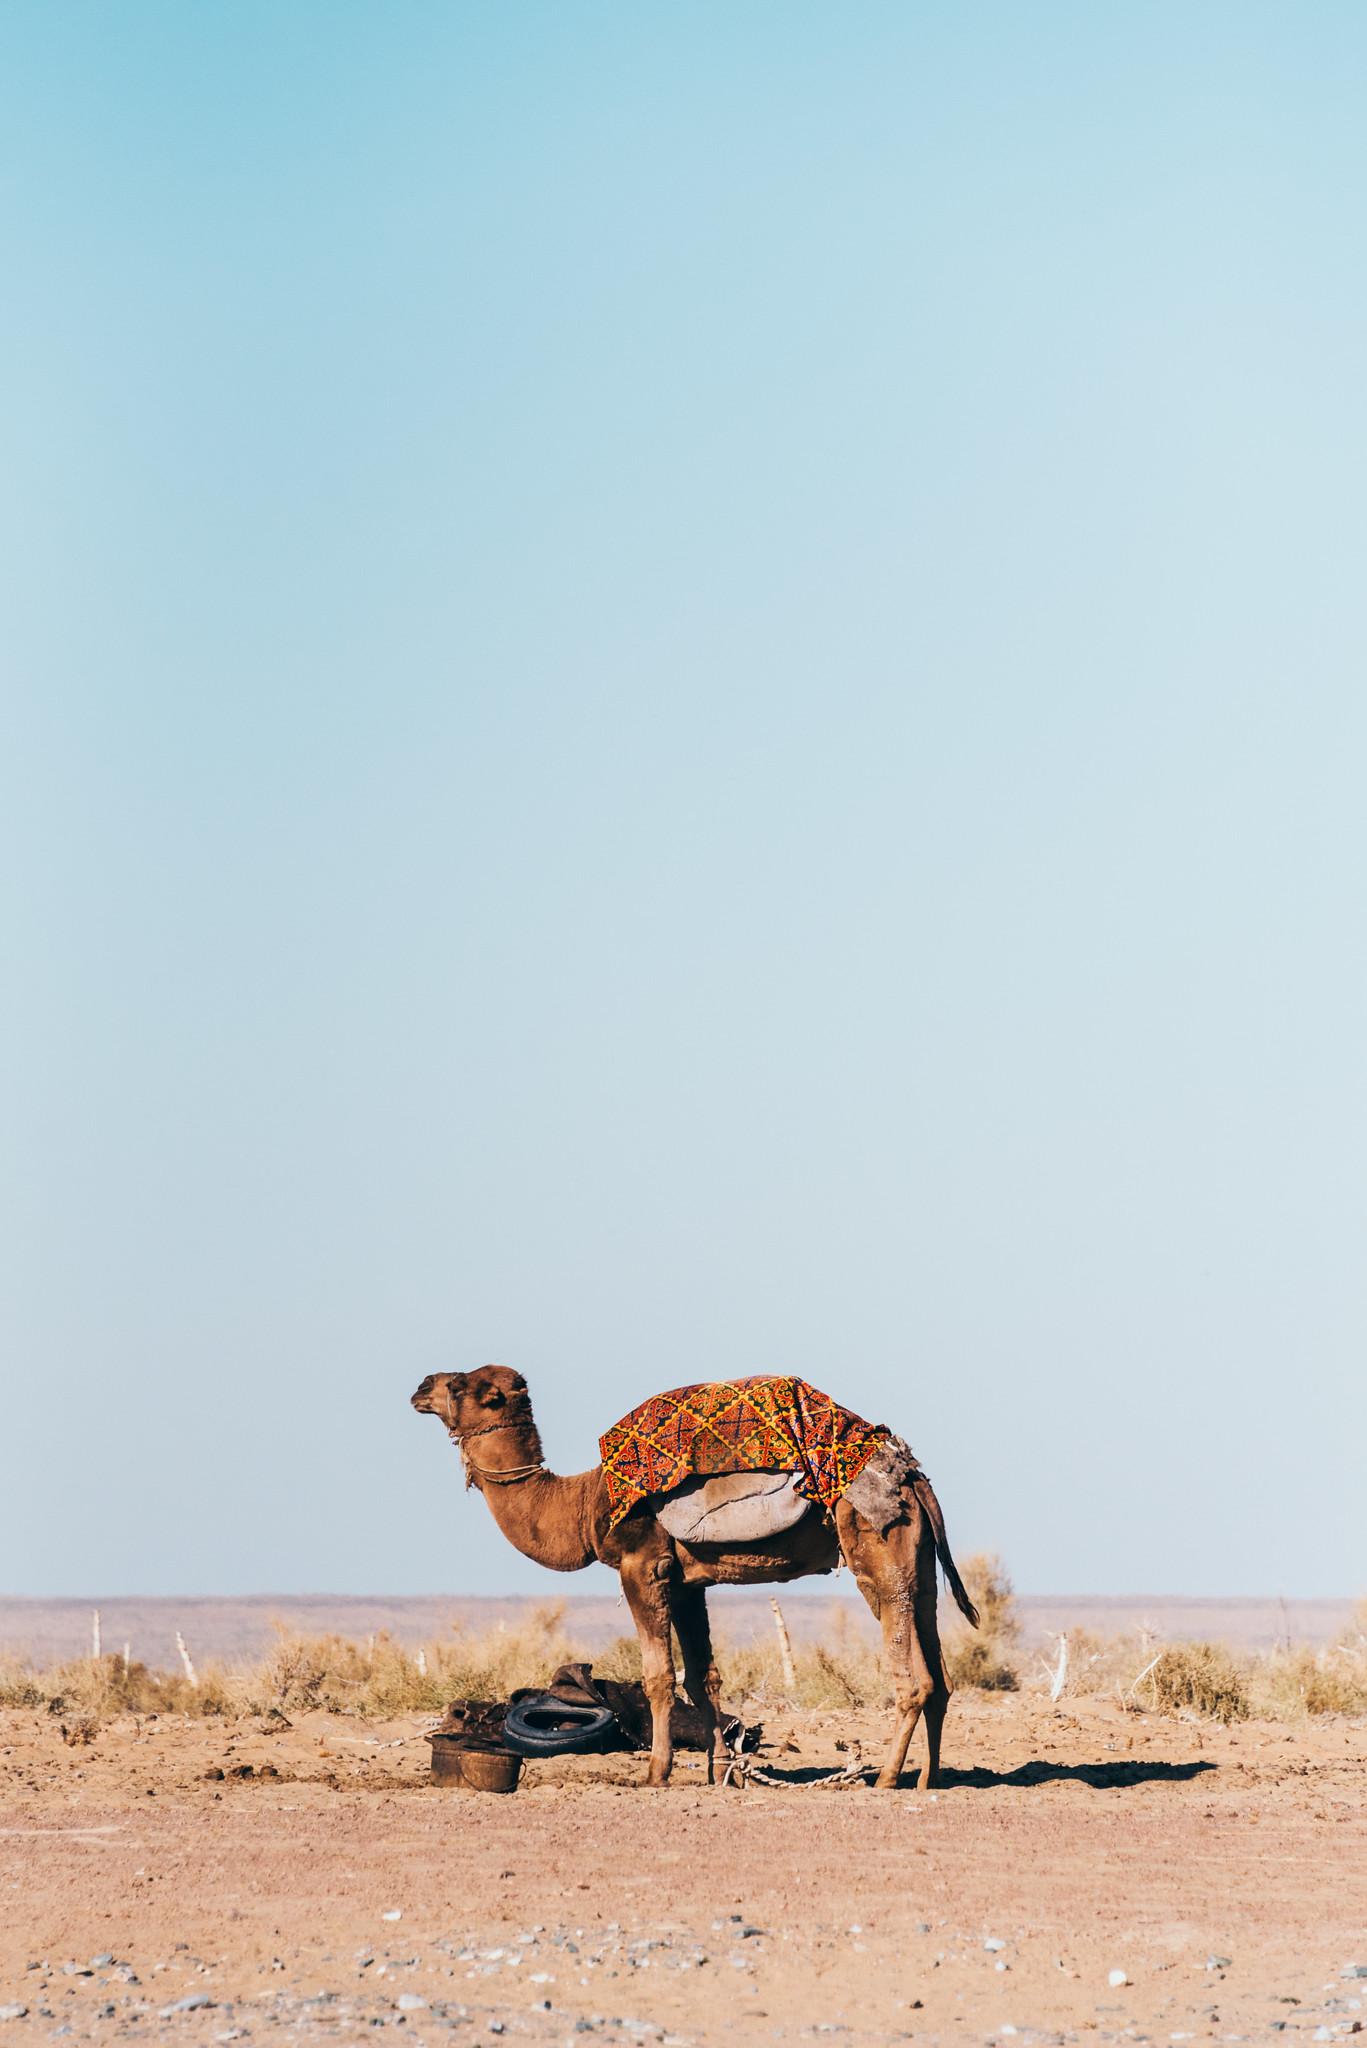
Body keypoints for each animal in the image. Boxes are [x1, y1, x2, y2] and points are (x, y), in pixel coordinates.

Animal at [411, 1376, 979, 1794]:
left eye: (462, 1386)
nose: (420, 1387)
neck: (585, 1502)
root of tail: (912, 1476)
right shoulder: (686, 1581)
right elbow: (701, 1679)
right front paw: (724, 1773)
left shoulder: (643, 1565)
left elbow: (659, 1676)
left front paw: (657, 1773)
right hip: (919, 1563)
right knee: (940, 1670)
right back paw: (928, 1779)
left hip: (877, 1548)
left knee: (913, 1675)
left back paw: (886, 1778)